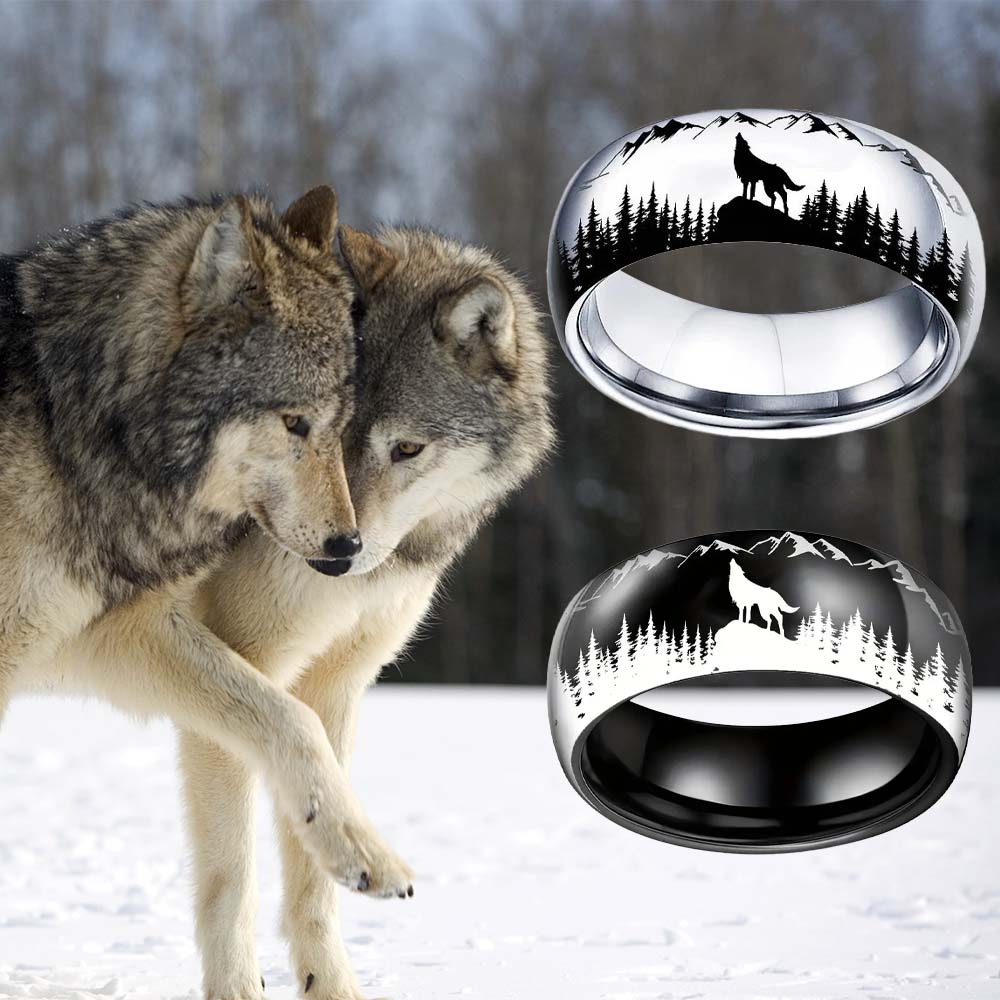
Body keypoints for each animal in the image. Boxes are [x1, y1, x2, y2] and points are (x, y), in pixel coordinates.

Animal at [0, 187, 384, 920]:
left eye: (340, 425)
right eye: (294, 422)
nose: (347, 547)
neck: (71, 420)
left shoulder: (118, 633)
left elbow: (291, 716)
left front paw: (359, 849)